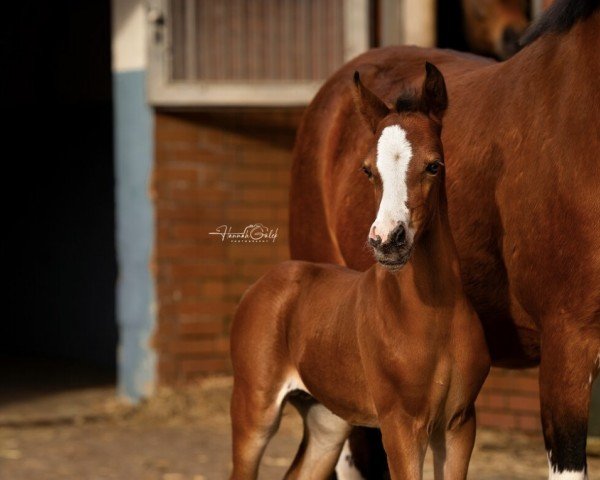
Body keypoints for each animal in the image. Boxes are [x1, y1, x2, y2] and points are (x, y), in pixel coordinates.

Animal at [231, 64, 492, 480]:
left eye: (434, 165)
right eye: (368, 170)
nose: (387, 241)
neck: (431, 315)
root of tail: (264, 283)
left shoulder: (458, 425)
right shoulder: (401, 425)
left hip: (326, 422)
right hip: (254, 412)